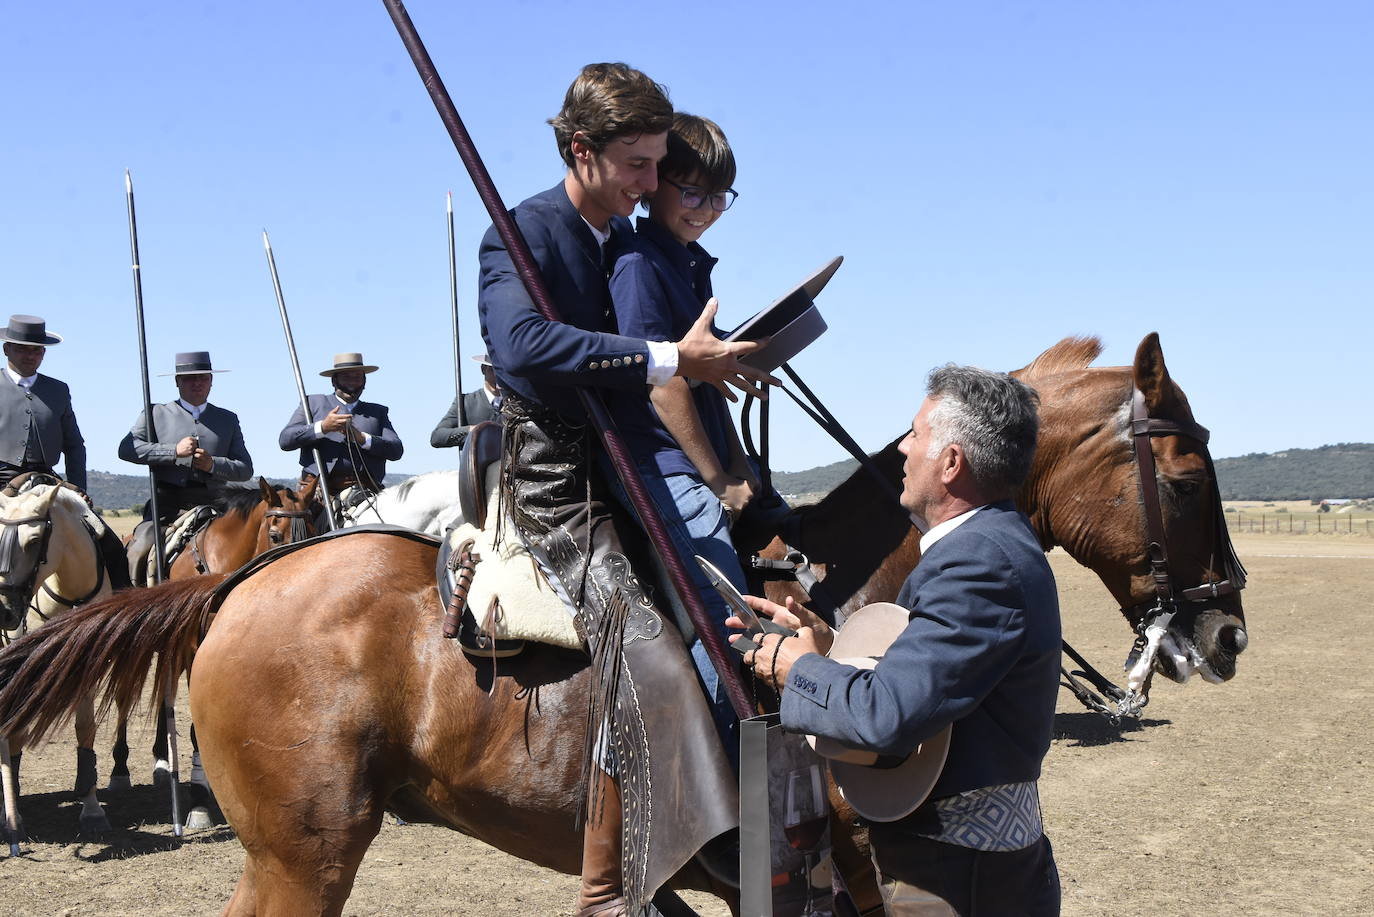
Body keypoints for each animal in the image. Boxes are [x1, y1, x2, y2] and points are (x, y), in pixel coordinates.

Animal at [0, 478, 116, 841]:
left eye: (35, 540)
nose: (4, 611)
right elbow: (15, 728)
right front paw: (11, 815)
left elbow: (85, 728)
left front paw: (92, 809)